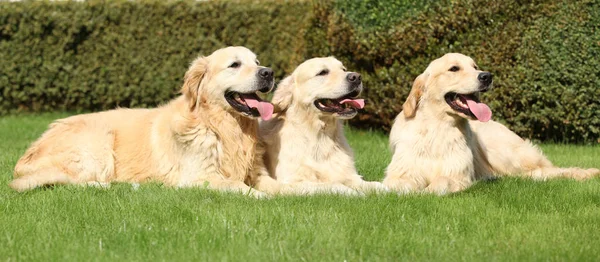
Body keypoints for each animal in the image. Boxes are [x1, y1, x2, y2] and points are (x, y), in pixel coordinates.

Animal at [9, 46, 276, 196]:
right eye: (235, 64)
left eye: (256, 62)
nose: (268, 72)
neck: (222, 127)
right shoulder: (198, 177)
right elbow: (238, 186)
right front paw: (263, 197)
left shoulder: (256, 172)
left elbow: (276, 183)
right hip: (98, 142)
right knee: (69, 183)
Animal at [260, 56, 386, 194]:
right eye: (322, 72)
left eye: (343, 69)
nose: (356, 77)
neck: (320, 137)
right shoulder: (292, 182)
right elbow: (334, 185)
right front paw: (355, 193)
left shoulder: (349, 175)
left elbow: (376, 185)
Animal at [382, 52, 596, 194]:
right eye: (454, 68)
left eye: (475, 66)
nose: (487, 76)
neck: (437, 129)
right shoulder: (402, 172)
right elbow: (399, 185)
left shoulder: (458, 174)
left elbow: (441, 182)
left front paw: (426, 192)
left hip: (504, 153)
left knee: (545, 171)